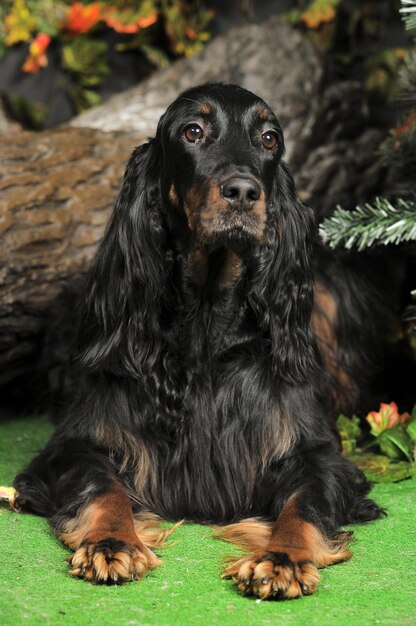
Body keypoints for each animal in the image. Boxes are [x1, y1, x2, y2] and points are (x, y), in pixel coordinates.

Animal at [13, 81, 384, 596]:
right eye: (193, 131)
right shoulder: (74, 444)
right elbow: (103, 487)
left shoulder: (318, 453)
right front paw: (113, 541)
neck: (207, 325)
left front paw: (283, 557)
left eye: (269, 138)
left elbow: (304, 504)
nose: (243, 191)